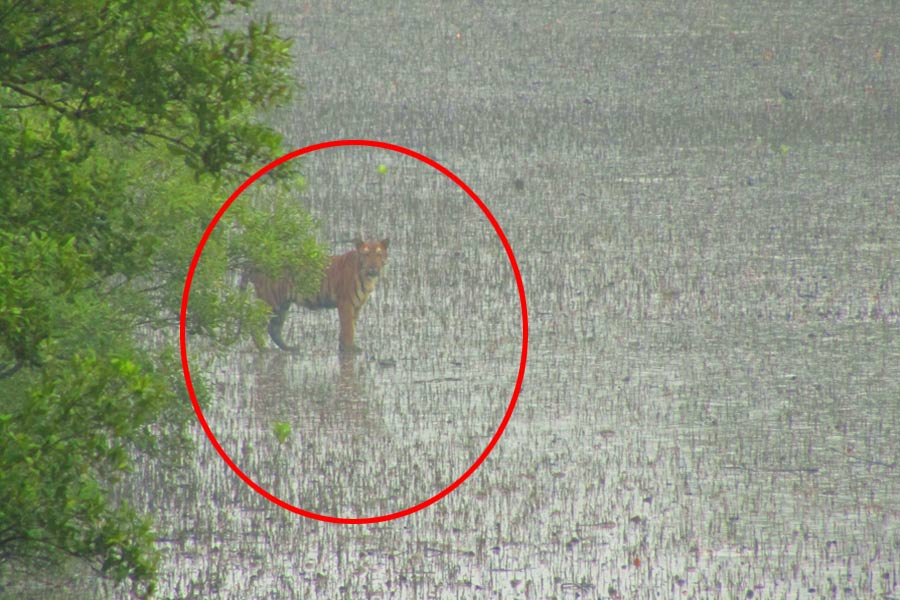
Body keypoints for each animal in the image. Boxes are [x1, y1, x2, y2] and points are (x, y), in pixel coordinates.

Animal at [243, 238, 389, 353]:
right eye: (366, 254)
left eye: (378, 254)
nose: (373, 268)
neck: (367, 277)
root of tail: (256, 261)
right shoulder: (346, 303)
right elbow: (348, 328)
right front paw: (350, 349)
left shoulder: (357, 305)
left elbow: (350, 327)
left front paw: (344, 347)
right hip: (270, 302)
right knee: (255, 323)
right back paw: (264, 349)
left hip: (282, 305)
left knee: (274, 328)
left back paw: (290, 348)